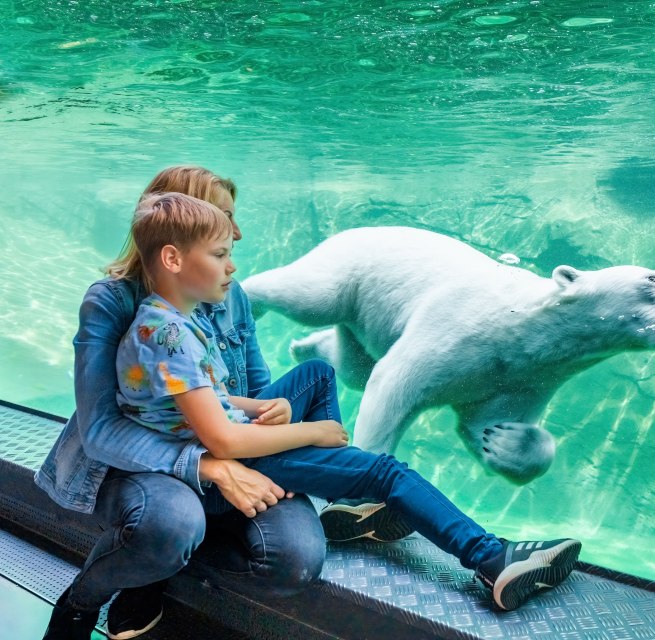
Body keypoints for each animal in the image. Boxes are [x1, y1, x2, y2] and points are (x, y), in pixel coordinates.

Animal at [242, 226, 655, 484]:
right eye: (651, 277)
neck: (523, 328)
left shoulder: (522, 377)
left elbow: (483, 422)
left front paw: (506, 441)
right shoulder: (462, 327)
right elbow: (397, 383)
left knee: (354, 365)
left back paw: (305, 346)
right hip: (353, 268)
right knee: (308, 297)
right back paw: (246, 299)